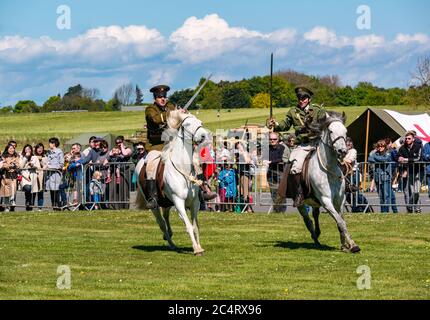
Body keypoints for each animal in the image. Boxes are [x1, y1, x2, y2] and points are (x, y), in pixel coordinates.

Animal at [134, 111, 208, 256]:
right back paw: (171, 243)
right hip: (155, 205)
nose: (203, 135)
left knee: (166, 217)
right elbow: (188, 226)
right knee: (161, 222)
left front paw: (199, 247)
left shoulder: (195, 202)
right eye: (187, 124)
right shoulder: (178, 201)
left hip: (167, 202)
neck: (182, 168)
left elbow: (195, 226)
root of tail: (140, 162)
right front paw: (196, 249)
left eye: (200, 122)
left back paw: (169, 236)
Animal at [292, 111, 360, 254]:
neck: (329, 169)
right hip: (301, 203)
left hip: (315, 202)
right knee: (308, 220)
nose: (342, 151)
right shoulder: (326, 201)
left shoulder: (340, 200)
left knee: (315, 215)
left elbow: (341, 221)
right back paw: (316, 240)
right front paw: (353, 245)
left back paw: (317, 235)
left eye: (345, 131)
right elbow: (340, 222)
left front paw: (345, 245)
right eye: (331, 131)